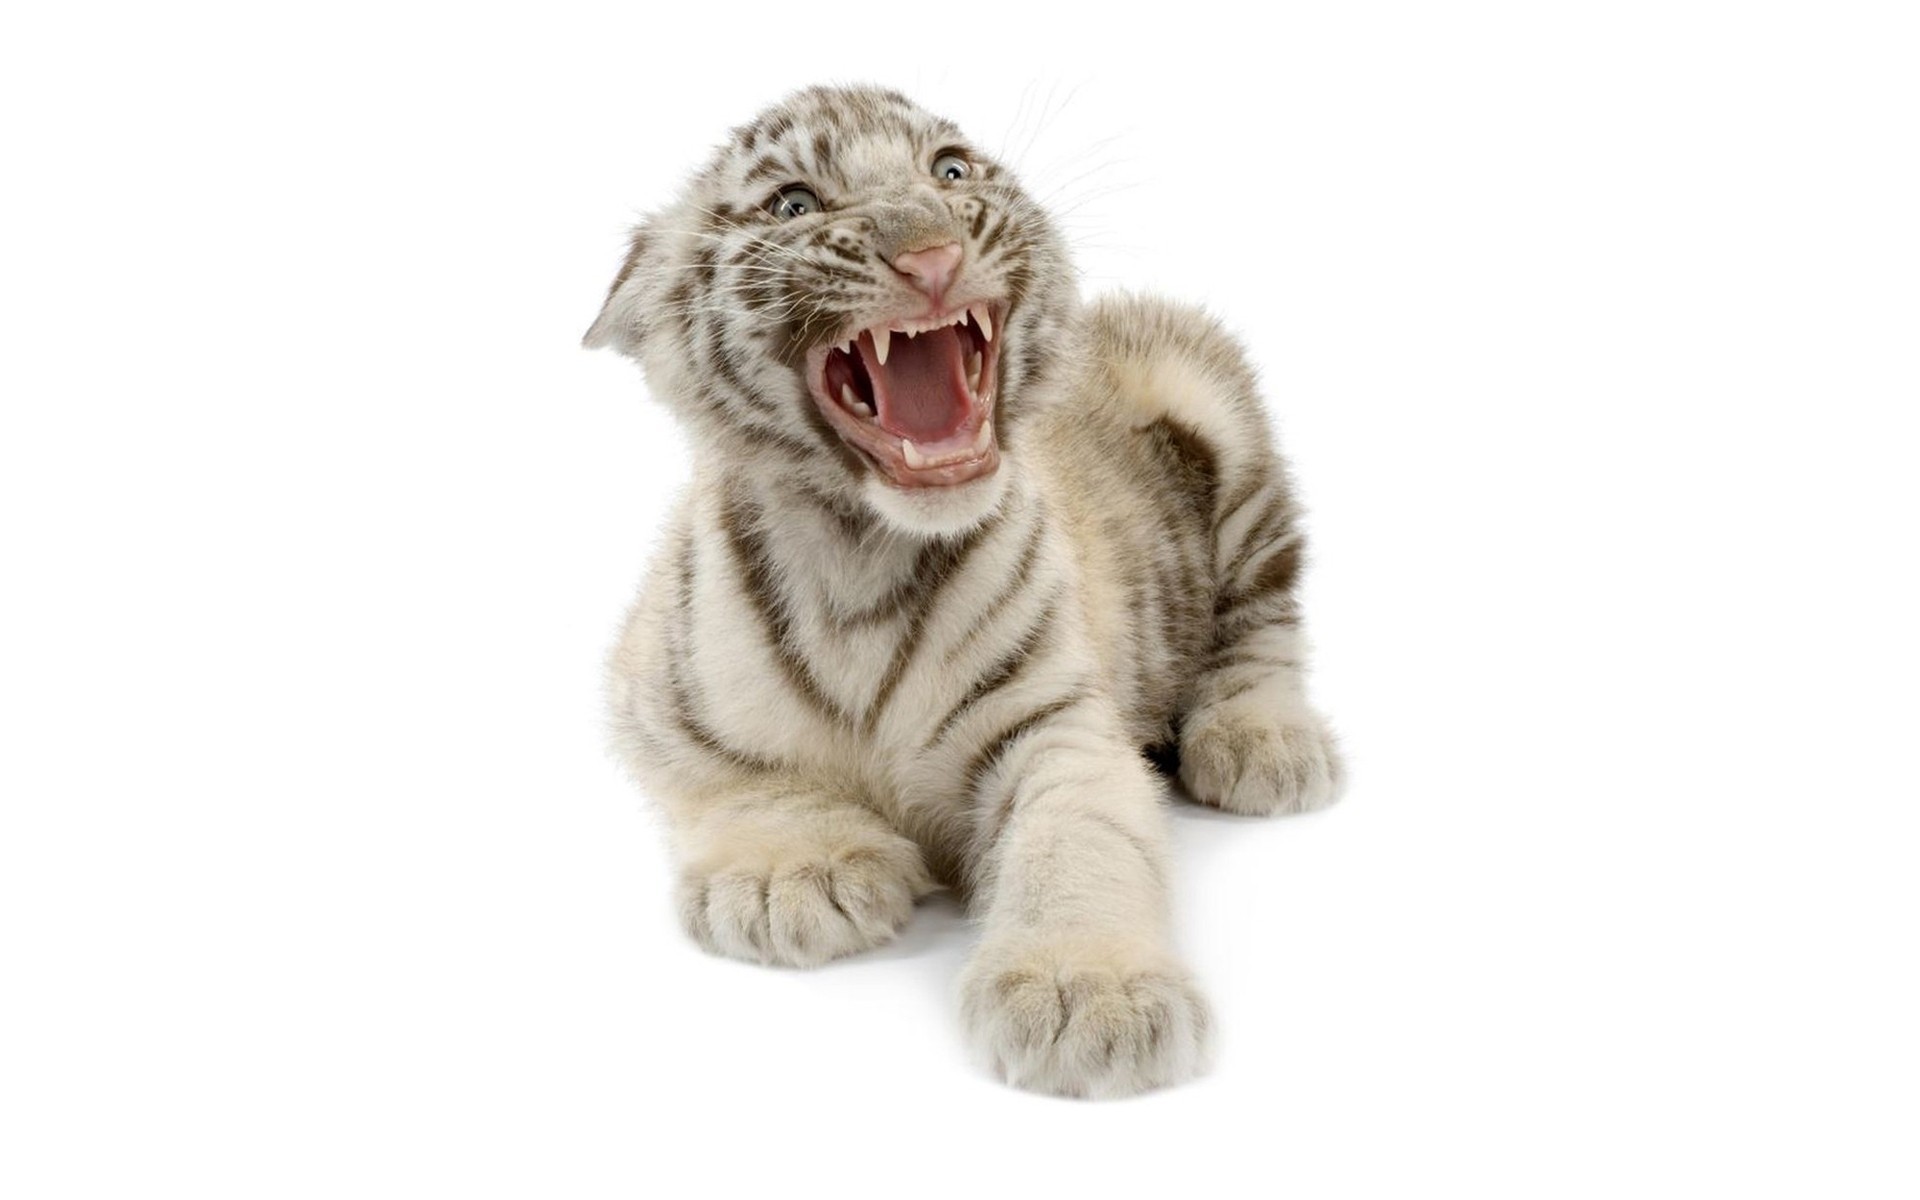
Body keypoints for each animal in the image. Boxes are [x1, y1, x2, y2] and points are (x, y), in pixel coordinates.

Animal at [584, 84, 1344, 1099]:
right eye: (793, 204)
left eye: (950, 170)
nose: (932, 254)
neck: (861, 552)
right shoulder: (651, 690)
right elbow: (729, 776)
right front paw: (796, 872)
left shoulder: (1055, 723)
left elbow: (1081, 840)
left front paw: (1086, 993)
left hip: (1211, 401)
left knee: (1265, 617)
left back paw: (1263, 742)